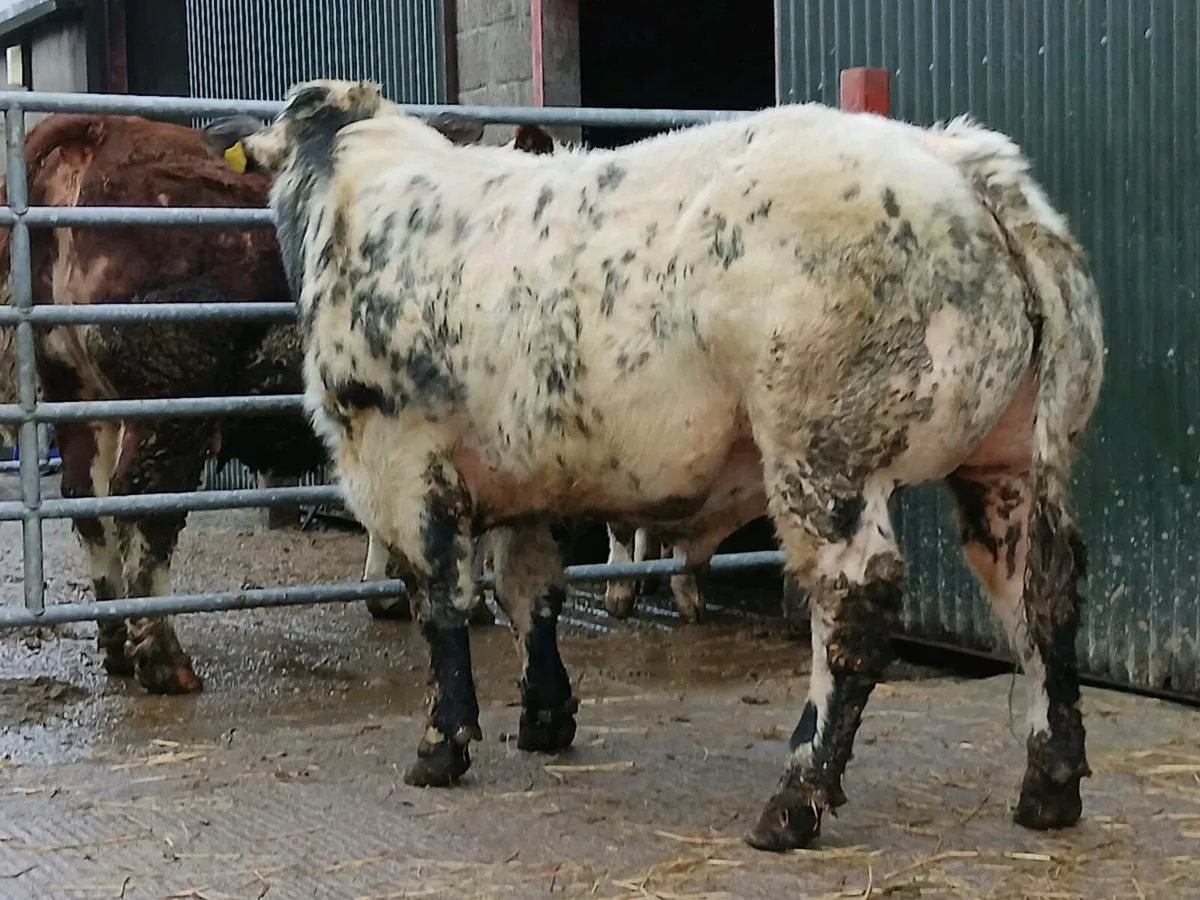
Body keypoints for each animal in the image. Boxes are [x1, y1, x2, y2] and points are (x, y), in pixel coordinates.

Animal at [0, 111, 493, 694]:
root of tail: (104, 130)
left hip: (76, 391)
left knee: (89, 500)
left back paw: (117, 643)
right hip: (171, 397)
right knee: (144, 502)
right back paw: (163, 658)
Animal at [201, 79, 1104, 853]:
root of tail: (955, 157)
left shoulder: (398, 454)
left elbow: (440, 601)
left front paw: (441, 745)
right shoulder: (528, 468)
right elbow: (530, 591)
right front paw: (546, 719)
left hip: (823, 455)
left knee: (855, 603)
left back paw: (794, 799)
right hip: (1009, 461)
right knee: (1039, 591)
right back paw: (1049, 786)